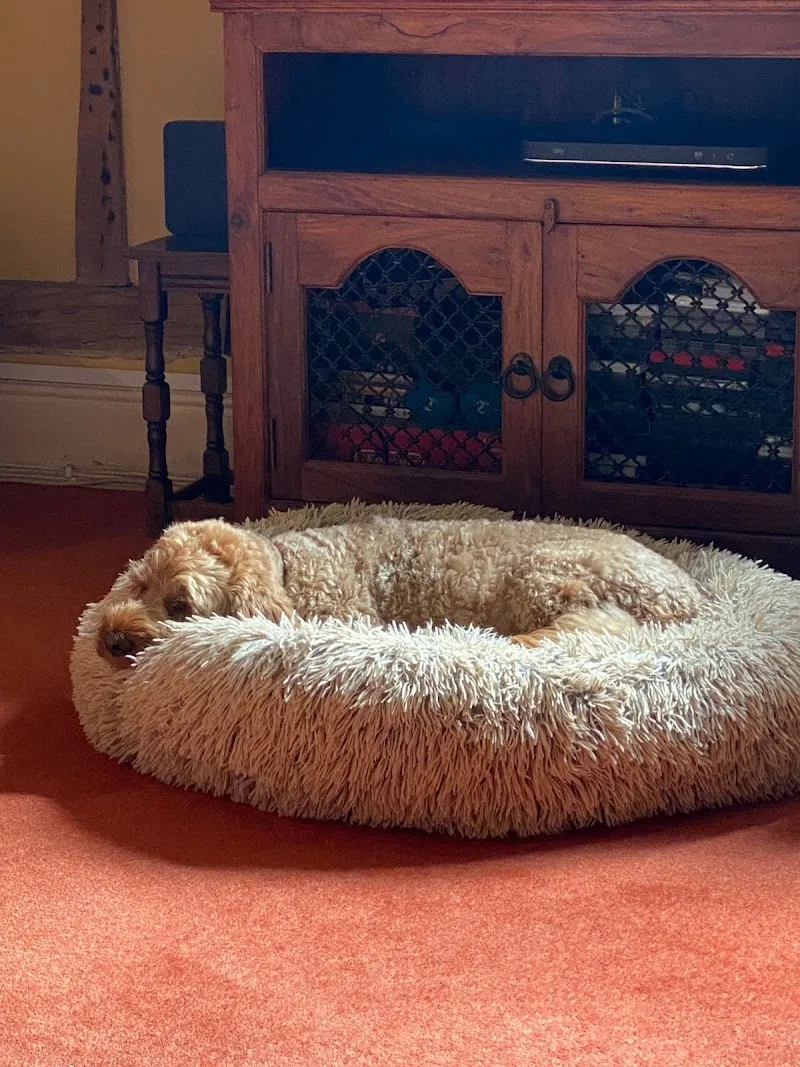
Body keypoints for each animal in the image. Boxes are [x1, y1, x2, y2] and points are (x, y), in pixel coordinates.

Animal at [97, 516, 705, 669]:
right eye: (140, 583)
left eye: (181, 607)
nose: (111, 639)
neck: (289, 572)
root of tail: (690, 598)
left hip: (547, 577)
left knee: (595, 628)